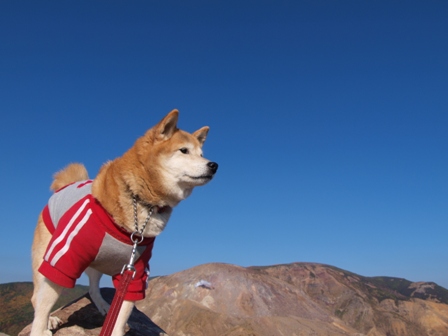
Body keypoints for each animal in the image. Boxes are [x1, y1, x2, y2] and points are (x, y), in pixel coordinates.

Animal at [28, 109, 218, 334]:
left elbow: (121, 316)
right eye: (184, 151)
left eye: (201, 154)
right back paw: (50, 319)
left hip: (98, 261)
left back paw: (102, 306)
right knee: (37, 297)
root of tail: (66, 186)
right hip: (45, 254)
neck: (140, 200)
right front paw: (41, 328)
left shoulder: (135, 272)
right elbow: (45, 304)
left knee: (93, 287)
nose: (214, 165)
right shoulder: (64, 259)